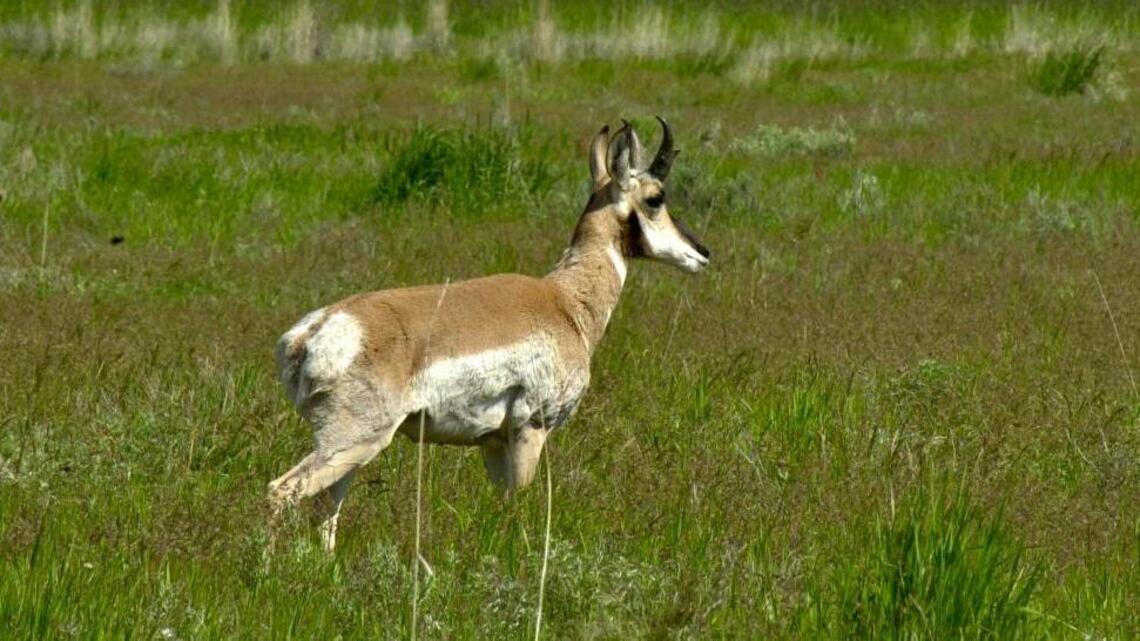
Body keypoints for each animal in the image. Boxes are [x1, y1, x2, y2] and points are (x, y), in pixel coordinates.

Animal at [268, 118, 710, 551]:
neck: (563, 301)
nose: (702, 253)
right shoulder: (531, 430)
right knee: (281, 491)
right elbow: (521, 505)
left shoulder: (493, 444)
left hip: (350, 450)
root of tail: (310, 334)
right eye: (657, 198)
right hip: (355, 440)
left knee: (326, 511)